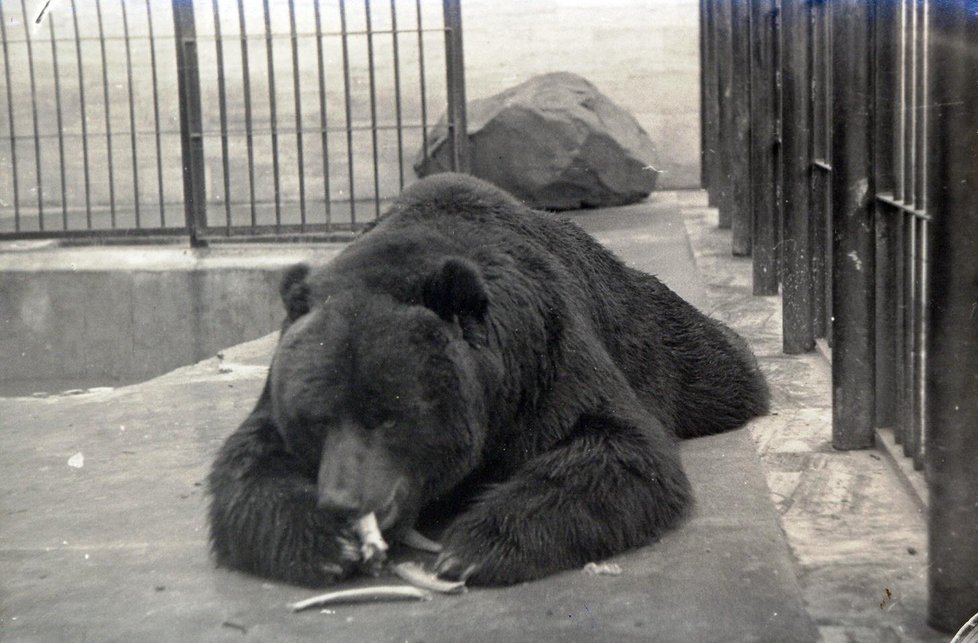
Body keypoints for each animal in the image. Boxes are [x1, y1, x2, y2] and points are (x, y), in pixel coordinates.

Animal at [208, 172, 772, 588]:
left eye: (389, 416)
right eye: (316, 419)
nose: (345, 501)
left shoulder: (546, 357)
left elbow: (618, 448)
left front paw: (473, 547)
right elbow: (247, 463)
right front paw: (332, 542)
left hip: (648, 331)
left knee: (716, 370)